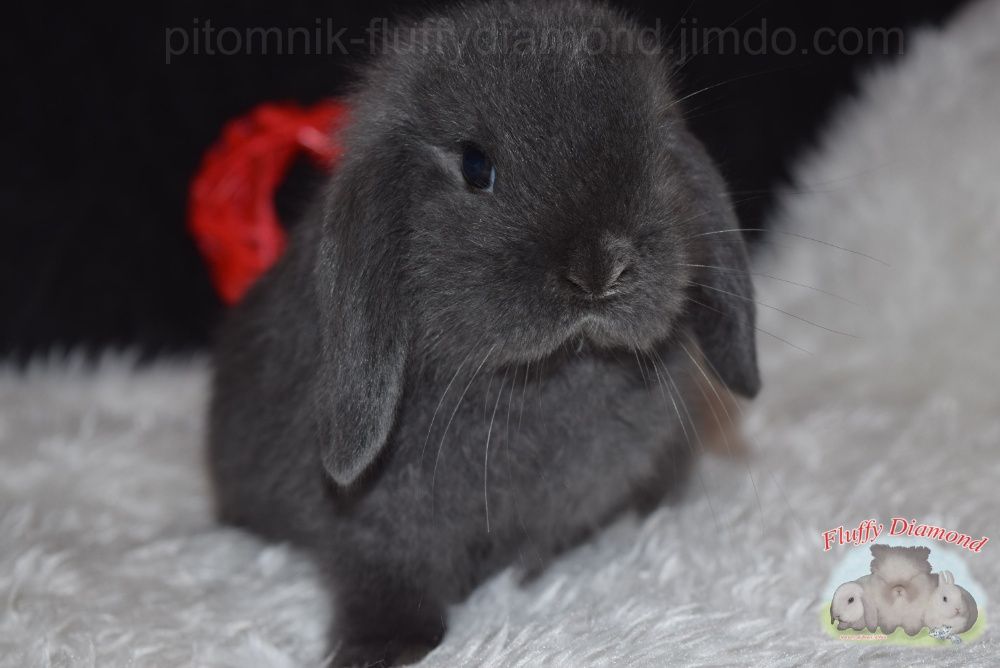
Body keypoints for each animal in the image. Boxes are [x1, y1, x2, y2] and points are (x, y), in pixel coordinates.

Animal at [207, 1, 759, 665]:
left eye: (656, 149)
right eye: (476, 167)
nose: (600, 269)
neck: (548, 377)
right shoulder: (372, 521)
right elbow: (381, 570)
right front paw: (381, 647)